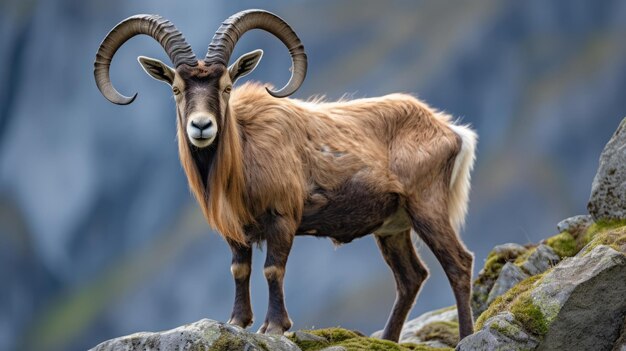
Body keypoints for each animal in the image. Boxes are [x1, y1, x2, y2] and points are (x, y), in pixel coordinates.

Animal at [92, 9, 476, 342]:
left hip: (426, 207)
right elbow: (239, 270)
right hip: (392, 227)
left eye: (227, 87)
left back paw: (466, 335)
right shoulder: (235, 231)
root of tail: (452, 132)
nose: (201, 126)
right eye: (176, 89)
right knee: (411, 277)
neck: (245, 155)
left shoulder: (282, 218)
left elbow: (272, 270)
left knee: (458, 263)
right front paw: (237, 321)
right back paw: (388, 339)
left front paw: (274, 326)